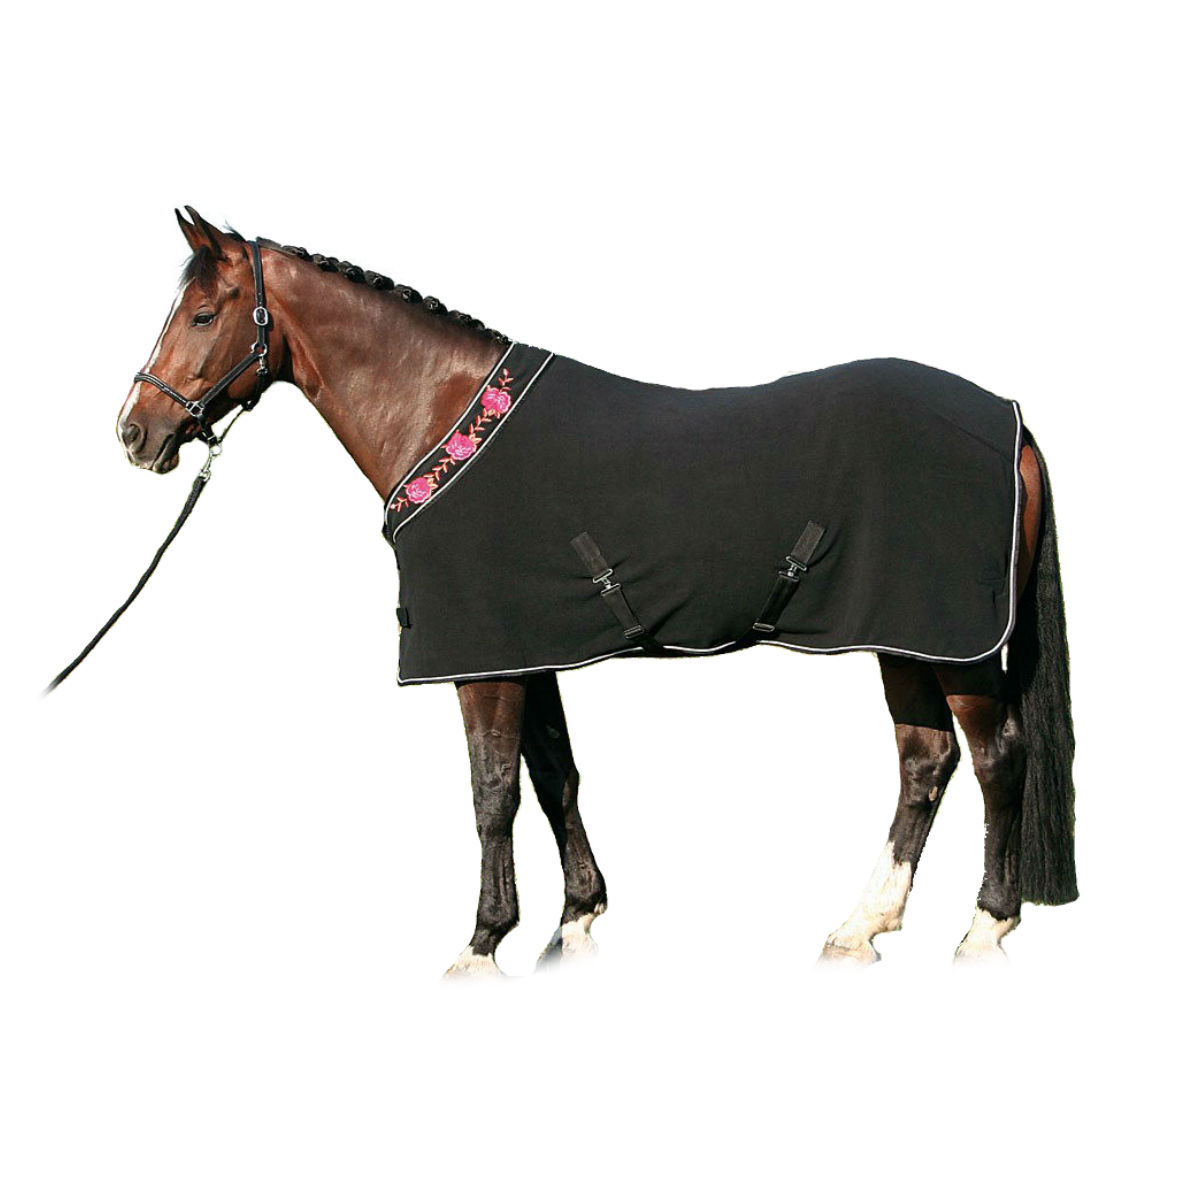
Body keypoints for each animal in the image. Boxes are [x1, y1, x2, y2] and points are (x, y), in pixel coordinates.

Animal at [114, 207, 1077, 973]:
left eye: (203, 313)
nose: (135, 432)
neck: (445, 415)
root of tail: (1011, 421)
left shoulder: (484, 660)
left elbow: (492, 792)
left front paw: (481, 943)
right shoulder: (527, 646)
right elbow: (554, 776)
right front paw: (574, 922)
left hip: (956, 645)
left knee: (996, 758)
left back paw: (984, 930)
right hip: (902, 635)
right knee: (925, 762)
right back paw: (860, 927)